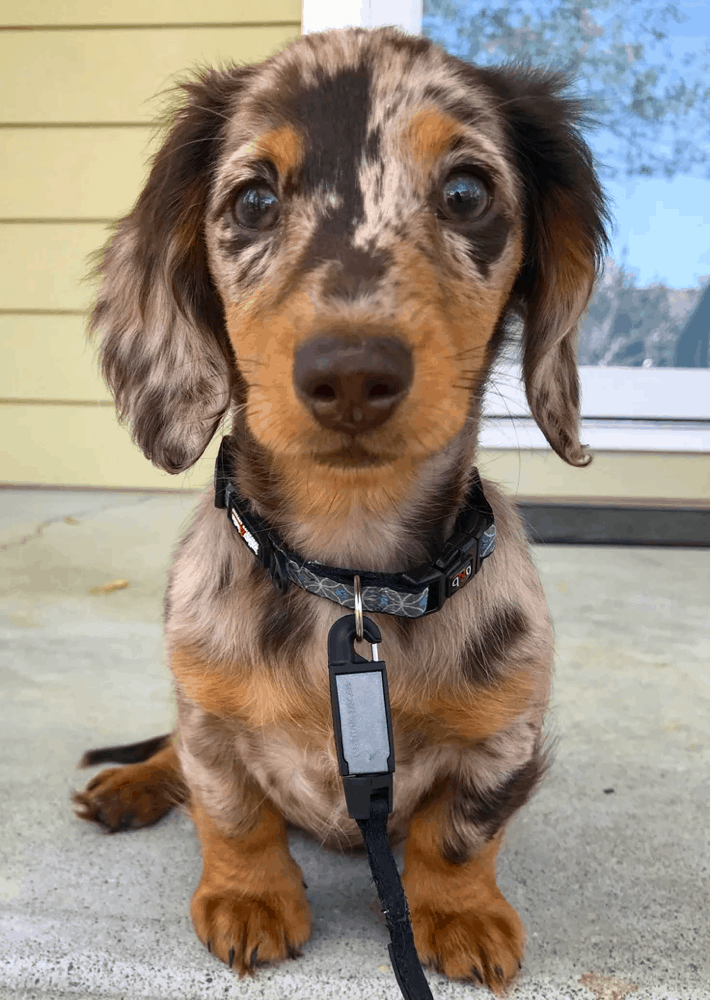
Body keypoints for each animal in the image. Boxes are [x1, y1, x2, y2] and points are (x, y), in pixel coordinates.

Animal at [72, 27, 608, 996]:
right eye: (252, 200)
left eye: (467, 192)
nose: (351, 373)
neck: (351, 576)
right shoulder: (207, 713)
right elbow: (229, 807)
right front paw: (248, 897)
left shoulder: (506, 737)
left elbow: (459, 832)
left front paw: (459, 913)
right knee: (169, 756)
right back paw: (130, 786)